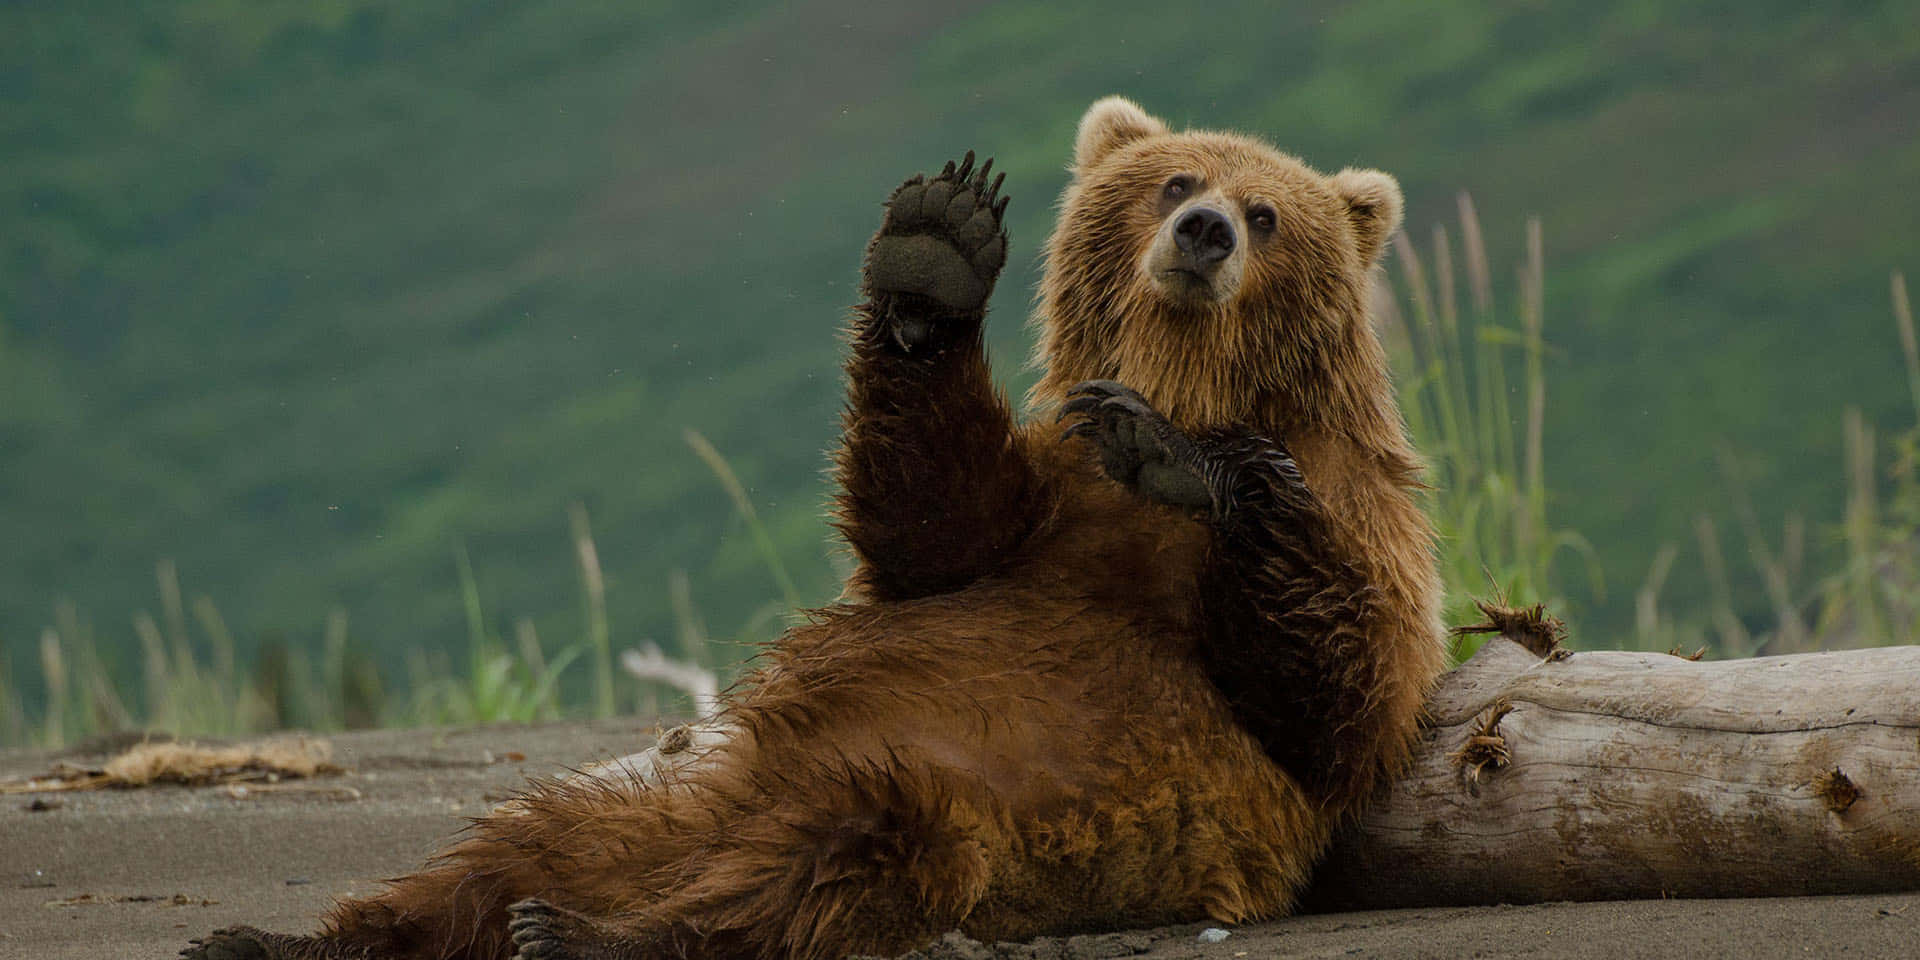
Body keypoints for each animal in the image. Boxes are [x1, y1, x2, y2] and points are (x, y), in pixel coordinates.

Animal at [182, 96, 1444, 960]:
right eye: (1176, 174)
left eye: (1269, 211)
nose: (1205, 230)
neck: (1189, 375)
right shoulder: (1040, 507)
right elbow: (930, 521)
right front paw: (936, 254)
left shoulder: (1357, 521)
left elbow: (1340, 693)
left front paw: (1189, 458)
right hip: (666, 802)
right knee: (503, 851)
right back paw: (283, 937)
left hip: (952, 811)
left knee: (818, 869)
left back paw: (589, 934)